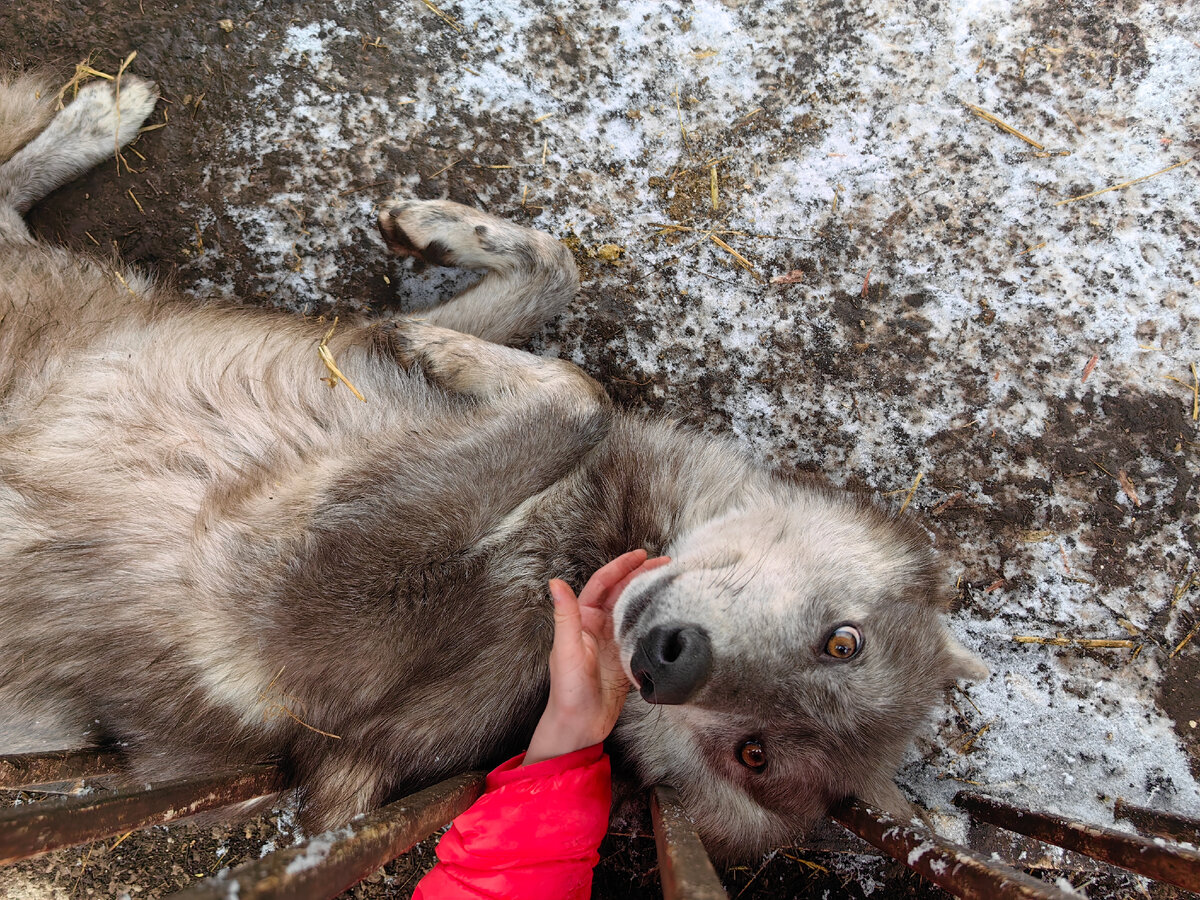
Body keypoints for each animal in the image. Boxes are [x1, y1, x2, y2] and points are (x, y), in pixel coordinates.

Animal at [0, 68, 984, 859]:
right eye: (843, 642)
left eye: (752, 752)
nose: (670, 664)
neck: (584, 540)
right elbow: (556, 279)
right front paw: (441, 263)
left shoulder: (274, 574)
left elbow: (581, 397)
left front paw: (448, 341)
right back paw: (95, 118)